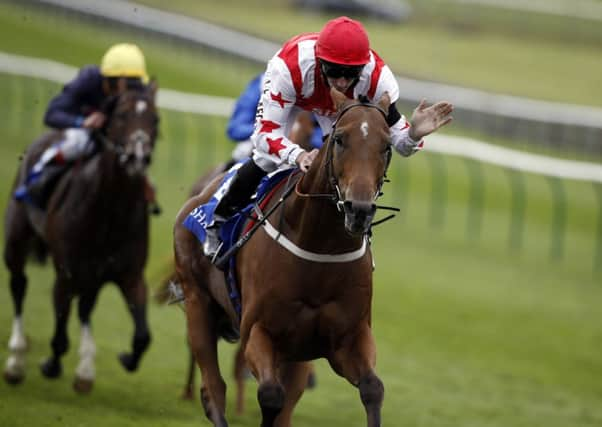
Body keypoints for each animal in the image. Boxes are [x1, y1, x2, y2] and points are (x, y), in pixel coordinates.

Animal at [3, 82, 158, 392]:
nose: (138, 157)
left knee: (86, 308)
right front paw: (50, 365)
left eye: (155, 120)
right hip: (16, 241)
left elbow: (143, 336)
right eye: (121, 115)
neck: (111, 211)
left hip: (93, 276)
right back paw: (16, 359)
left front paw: (125, 358)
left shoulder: (130, 275)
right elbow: (60, 335)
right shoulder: (67, 274)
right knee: (19, 286)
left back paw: (85, 368)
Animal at [173, 88, 390, 426]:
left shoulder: (348, 337)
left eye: (387, 145)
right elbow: (271, 395)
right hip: (198, 301)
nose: (359, 209)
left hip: (295, 352)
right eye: (340, 139)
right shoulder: (258, 333)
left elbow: (372, 388)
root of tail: (201, 194)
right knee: (213, 390)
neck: (320, 246)